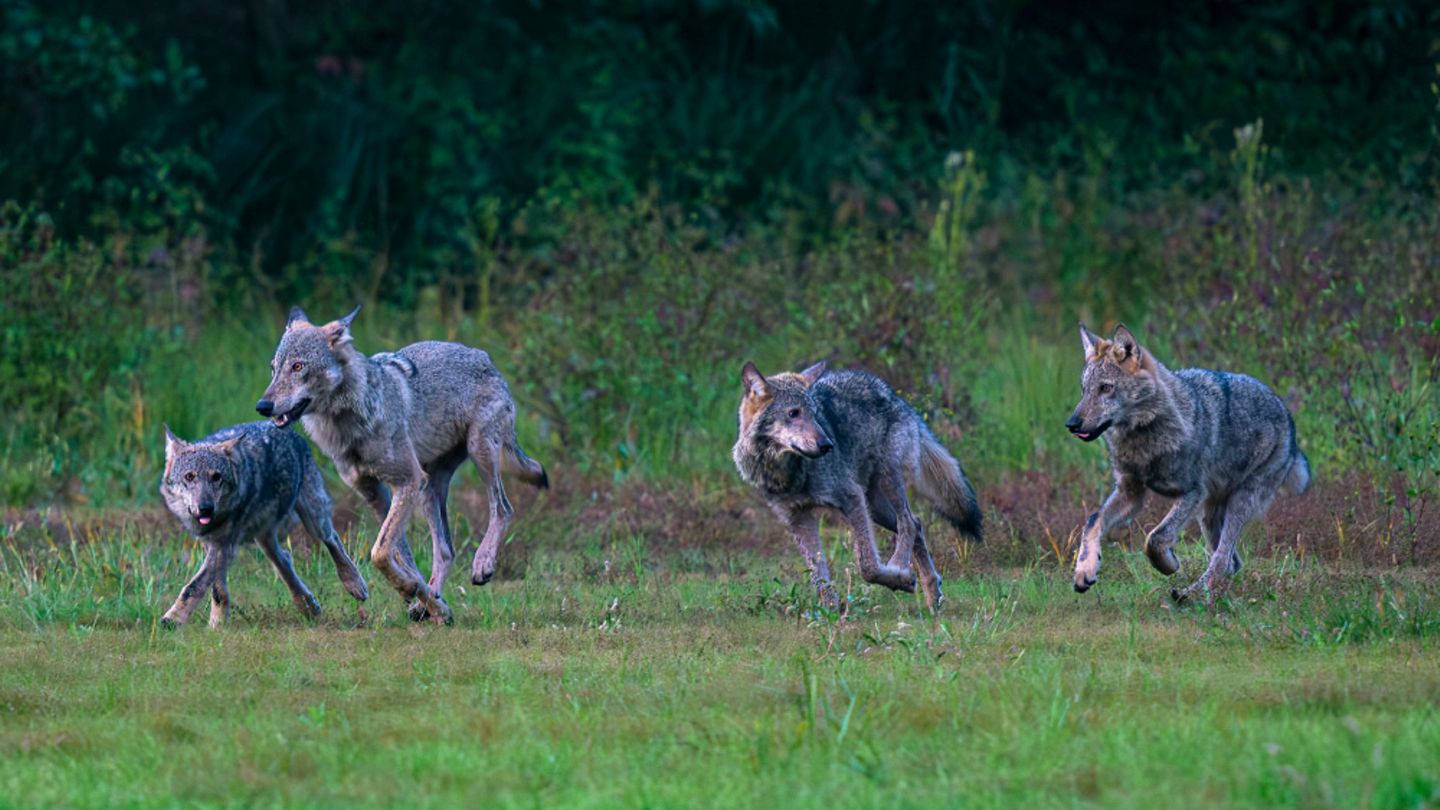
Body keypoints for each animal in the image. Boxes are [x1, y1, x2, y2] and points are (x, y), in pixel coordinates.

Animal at [159, 421, 370, 628]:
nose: (206, 508)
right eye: (189, 476)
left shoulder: (223, 545)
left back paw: (354, 584)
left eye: (216, 477)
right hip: (265, 539)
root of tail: (277, 425)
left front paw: (172, 620)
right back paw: (307, 605)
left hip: (314, 521)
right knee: (284, 559)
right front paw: (217, 625)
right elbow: (216, 589)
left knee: (332, 539)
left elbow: (193, 586)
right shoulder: (213, 543)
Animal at [257, 306, 549, 624]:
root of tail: (483, 357)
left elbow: (380, 553)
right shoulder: (376, 493)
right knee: (445, 551)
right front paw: (422, 597)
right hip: (429, 490)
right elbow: (399, 554)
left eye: (298, 367)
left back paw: (481, 564)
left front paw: (413, 590)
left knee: (503, 509)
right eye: (273, 368)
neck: (349, 423)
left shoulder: (406, 482)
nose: (262, 406)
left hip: (477, 453)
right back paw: (432, 600)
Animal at [732, 361, 983, 613]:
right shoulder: (797, 518)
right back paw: (932, 596)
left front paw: (899, 579)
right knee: (918, 525)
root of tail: (898, 398)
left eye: (815, 415)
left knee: (909, 524)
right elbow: (819, 577)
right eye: (793, 413)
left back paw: (900, 567)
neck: (785, 472)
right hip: (875, 507)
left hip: (886, 484)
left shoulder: (851, 498)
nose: (827, 445)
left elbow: (867, 565)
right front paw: (830, 613)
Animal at [1066, 323, 1311, 601]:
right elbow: (1093, 520)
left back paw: (1190, 596)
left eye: (1106, 388)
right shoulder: (1131, 492)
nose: (1071, 424)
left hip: (1236, 503)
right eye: (1084, 389)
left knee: (1221, 559)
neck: (1143, 439)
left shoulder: (1192, 492)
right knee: (1231, 562)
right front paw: (1084, 571)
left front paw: (1168, 564)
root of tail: (1286, 413)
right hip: (1208, 513)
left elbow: (1155, 538)